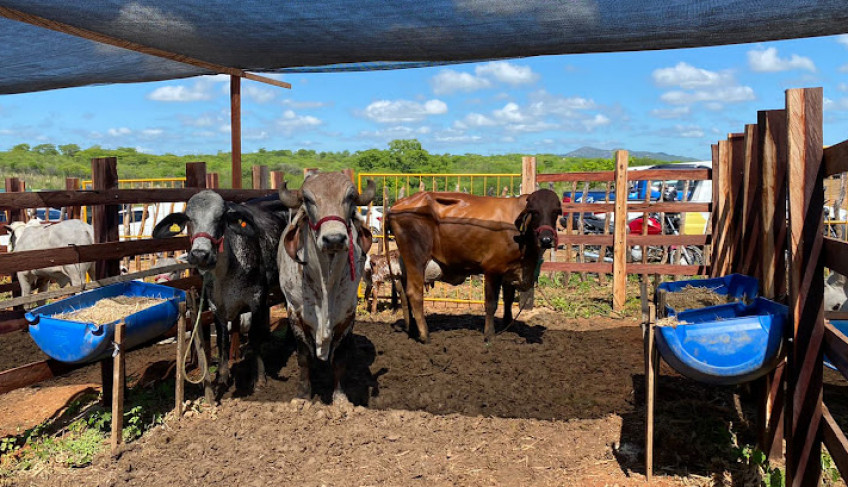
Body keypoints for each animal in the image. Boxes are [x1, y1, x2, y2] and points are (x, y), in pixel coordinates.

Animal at [278, 173, 374, 406]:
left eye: (350, 197)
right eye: (308, 200)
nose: (334, 239)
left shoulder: (346, 315)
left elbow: (339, 358)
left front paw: (340, 397)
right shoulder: (296, 313)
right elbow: (304, 358)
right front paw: (303, 395)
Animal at [390, 189, 564, 342]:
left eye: (556, 211)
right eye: (534, 212)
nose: (546, 239)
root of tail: (398, 205)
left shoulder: (509, 271)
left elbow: (508, 300)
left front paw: (507, 327)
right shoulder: (492, 270)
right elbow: (491, 304)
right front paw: (490, 335)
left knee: (405, 293)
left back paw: (412, 330)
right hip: (416, 259)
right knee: (414, 293)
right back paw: (425, 335)